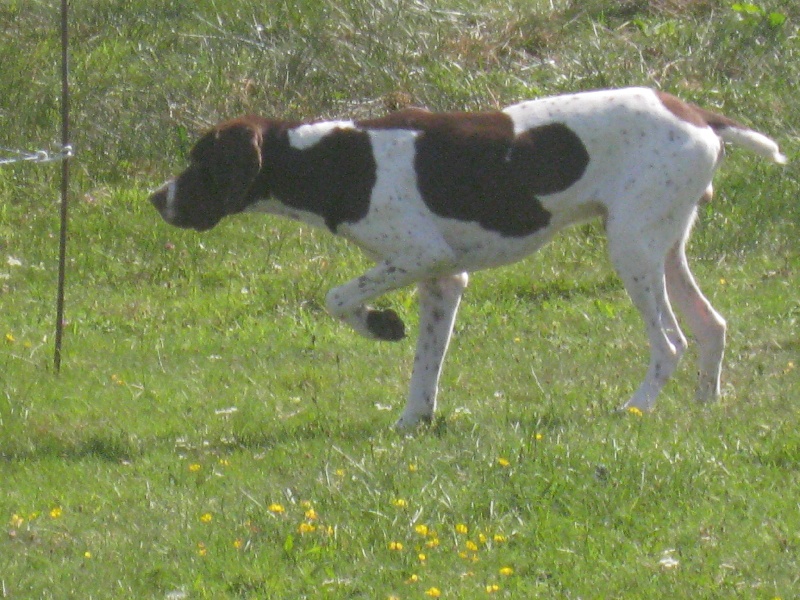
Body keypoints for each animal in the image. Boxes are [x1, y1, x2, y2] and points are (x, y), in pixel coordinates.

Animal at [152, 86, 788, 428]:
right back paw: (704, 405)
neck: (333, 158)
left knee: (671, 342)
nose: (157, 198)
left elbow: (336, 297)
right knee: (711, 327)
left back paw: (635, 407)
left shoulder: (420, 254)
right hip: (662, 248)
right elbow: (425, 367)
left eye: (200, 164)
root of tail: (700, 115)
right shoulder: (442, 278)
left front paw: (381, 325)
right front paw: (413, 421)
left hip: (630, 249)